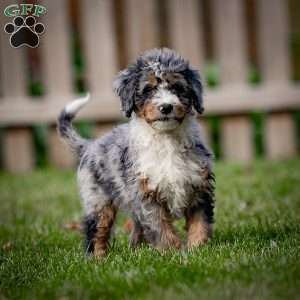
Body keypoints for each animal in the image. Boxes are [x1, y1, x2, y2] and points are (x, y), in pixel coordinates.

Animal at [57, 48, 214, 256]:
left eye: (178, 87)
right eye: (148, 89)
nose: (166, 107)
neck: (166, 140)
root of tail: (90, 145)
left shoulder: (199, 185)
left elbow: (200, 223)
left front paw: (198, 249)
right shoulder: (146, 193)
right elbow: (159, 226)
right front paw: (172, 252)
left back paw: (137, 249)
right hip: (98, 201)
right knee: (96, 230)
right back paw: (98, 258)